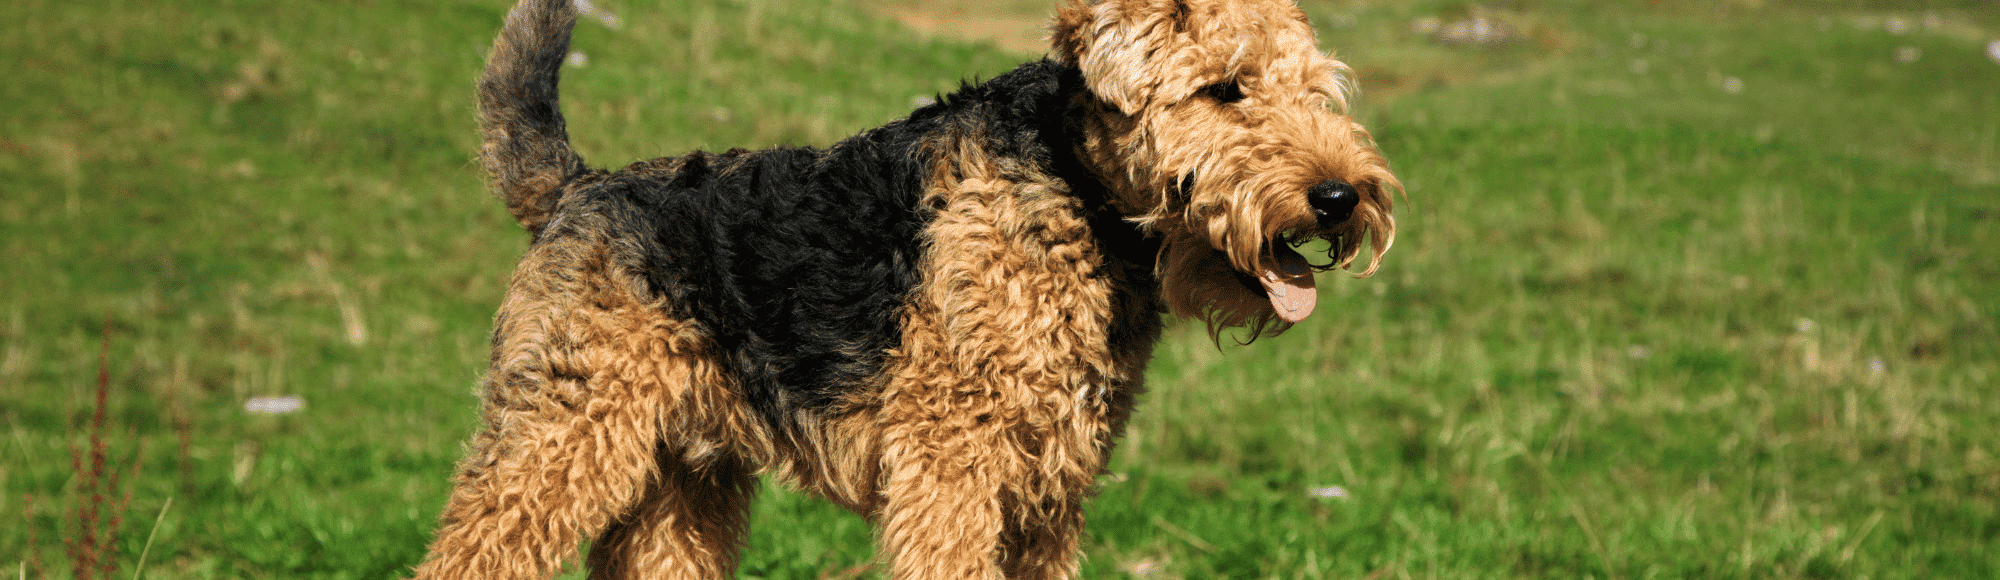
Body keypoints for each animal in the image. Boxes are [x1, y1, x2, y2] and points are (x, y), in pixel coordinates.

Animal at [414, 0, 1400, 576]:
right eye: (1225, 89)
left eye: (1319, 89)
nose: (1340, 198)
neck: (1076, 192)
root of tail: (574, 189)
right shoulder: (954, 470)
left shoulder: (1052, 487)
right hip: (554, 442)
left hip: (681, 479)